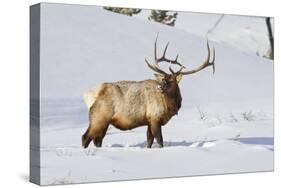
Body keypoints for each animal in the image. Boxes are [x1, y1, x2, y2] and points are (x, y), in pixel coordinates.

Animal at [81, 34, 214, 148]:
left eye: (171, 81)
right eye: (163, 79)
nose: (160, 87)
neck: (170, 106)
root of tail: (88, 95)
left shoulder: (149, 121)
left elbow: (149, 141)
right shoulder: (155, 118)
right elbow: (160, 141)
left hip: (103, 120)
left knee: (97, 139)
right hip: (99, 116)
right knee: (86, 137)